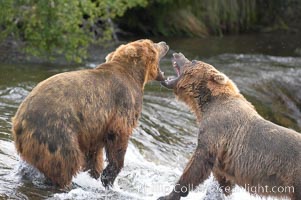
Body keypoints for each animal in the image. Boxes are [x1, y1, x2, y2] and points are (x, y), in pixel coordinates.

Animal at [11, 39, 169, 189]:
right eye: (152, 43)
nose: (164, 43)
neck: (135, 76)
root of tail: (19, 121)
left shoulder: (94, 129)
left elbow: (93, 155)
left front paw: (96, 174)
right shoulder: (122, 103)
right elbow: (119, 136)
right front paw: (108, 176)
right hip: (56, 133)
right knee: (67, 162)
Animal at [158, 52, 298, 199]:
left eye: (194, 61)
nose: (177, 54)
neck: (206, 103)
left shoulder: (216, 130)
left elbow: (199, 162)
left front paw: (168, 195)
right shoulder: (224, 156)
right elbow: (223, 179)